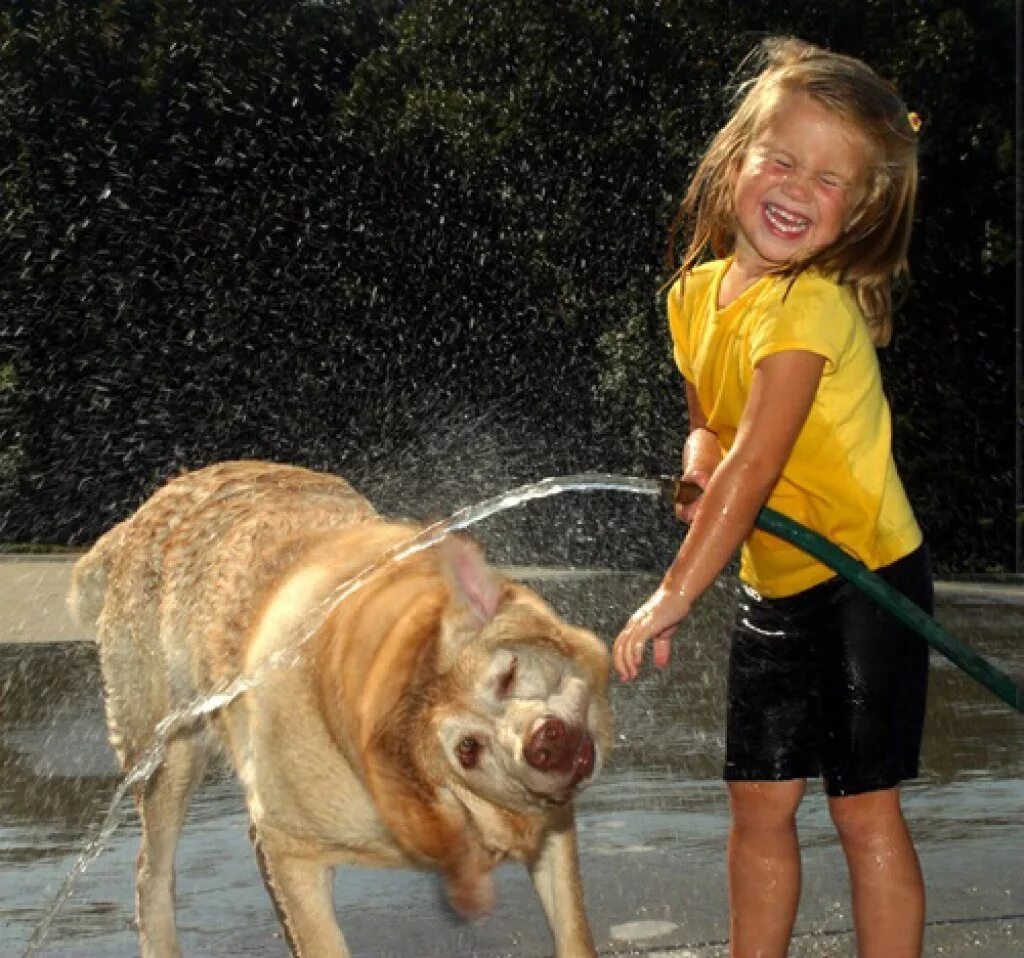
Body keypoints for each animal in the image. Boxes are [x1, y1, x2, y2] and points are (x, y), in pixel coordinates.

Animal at [70, 460, 606, 958]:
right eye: (467, 750)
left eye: (509, 675)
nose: (544, 742)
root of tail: (138, 516)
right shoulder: (295, 852)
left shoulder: (550, 820)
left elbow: (574, 932)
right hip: (167, 754)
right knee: (151, 874)